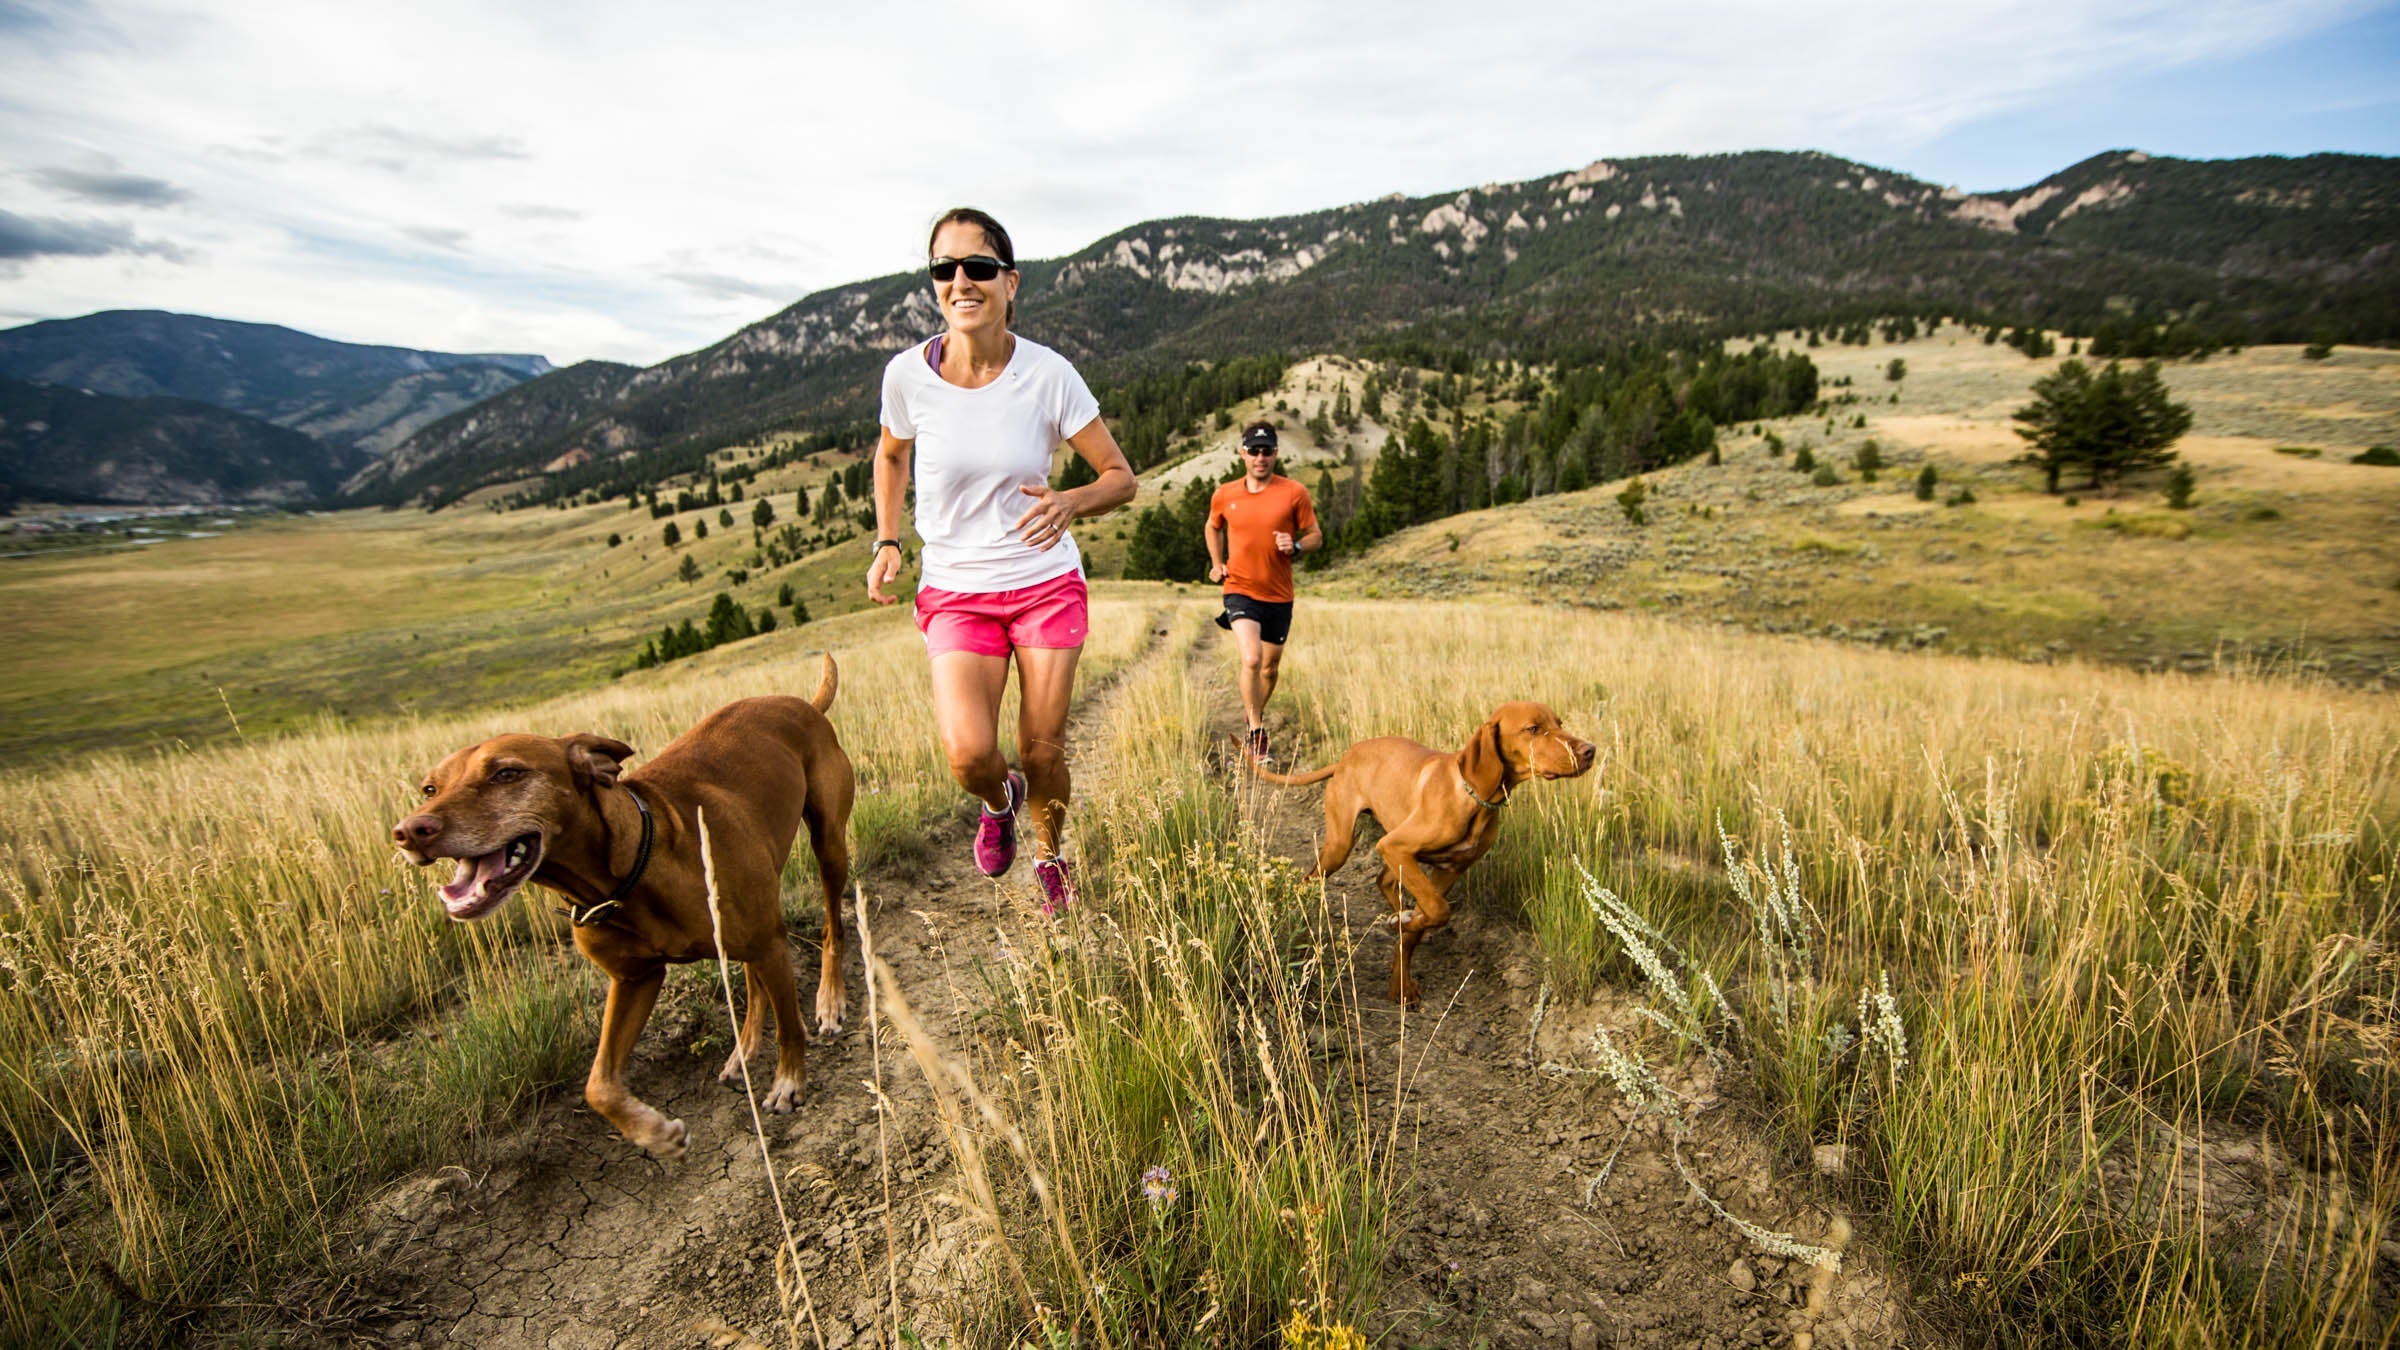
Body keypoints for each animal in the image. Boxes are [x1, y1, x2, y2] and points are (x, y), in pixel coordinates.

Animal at [386, 653, 854, 1157]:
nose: (410, 831)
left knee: (832, 927)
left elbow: (791, 1027)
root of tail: (804, 705)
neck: (626, 873)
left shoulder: (768, 943)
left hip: (828, 846)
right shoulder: (634, 979)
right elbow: (598, 1085)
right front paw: (655, 1133)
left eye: (507, 774)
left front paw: (789, 1083)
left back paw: (829, 999)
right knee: (752, 980)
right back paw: (743, 1049)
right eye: (429, 789)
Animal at [1257, 706, 1593, 999]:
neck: (1474, 797)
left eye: (1559, 723)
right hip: (1343, 845)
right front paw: (1404, 930)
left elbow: (1425, 919)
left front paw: (1401, 982)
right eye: (1533, 729)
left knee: (1383, 880)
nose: (1590, 750)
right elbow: (1438, 910)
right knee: (1308, 881)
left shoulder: (1448, 869)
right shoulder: (1395, 847)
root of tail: (1345, 757)